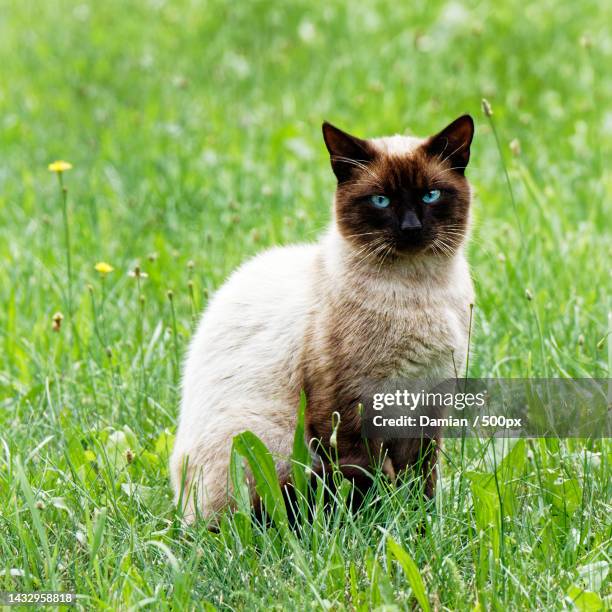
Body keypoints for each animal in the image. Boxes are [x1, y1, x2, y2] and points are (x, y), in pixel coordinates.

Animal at [170, 113, 476, 520]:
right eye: (380, 200)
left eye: (431, 195)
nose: (410, 228)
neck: (418, 291)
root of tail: (181, 507)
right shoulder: (349, 406)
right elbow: (373, 477)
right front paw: (385, 522)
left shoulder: (426, 406)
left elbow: (420, 481)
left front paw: (420, 524)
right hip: (267, 442)